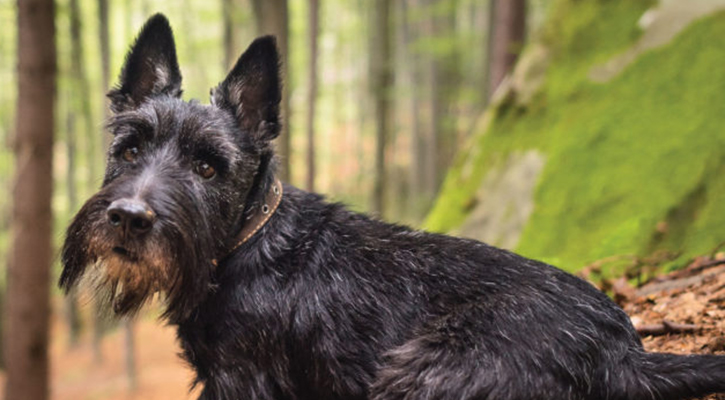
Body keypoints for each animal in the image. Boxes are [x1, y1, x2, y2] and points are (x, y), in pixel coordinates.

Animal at [60, 14, 724, 398]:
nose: (129, 218)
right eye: (130, 147)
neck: (245, 242)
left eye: (207, 167)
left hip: (421, 373)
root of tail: (624, 351)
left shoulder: (245, 380)